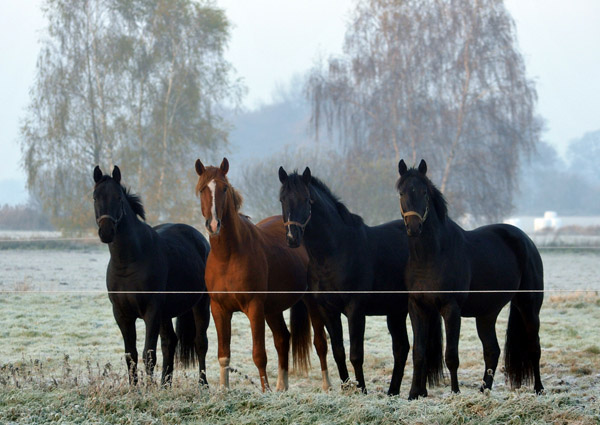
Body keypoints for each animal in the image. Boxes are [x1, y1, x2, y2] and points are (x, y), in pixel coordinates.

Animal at [92, 165, 212, 384]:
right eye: (95, 197)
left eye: (118, 197)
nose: (106, 231)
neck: (129, 262)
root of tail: (199, 239)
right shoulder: (122, 314)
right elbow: (131, 355)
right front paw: (136, 389)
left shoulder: (151, 312)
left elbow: (149, 355)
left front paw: (148, 389)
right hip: (166, 313)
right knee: (170, 342)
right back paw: (165, 384)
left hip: (201, 304)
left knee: (200, 343)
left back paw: (202, 384)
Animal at [195, 157, 330, 390]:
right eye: (203, 189)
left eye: (224, 188)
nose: (213, 224)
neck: (228, 257)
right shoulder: (219, 309)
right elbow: (224, 355)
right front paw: (223, 390)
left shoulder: (254, 307)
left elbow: (259, 355)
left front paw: (265, 391)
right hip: (273, 309)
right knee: (283, 339)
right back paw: (281, 388)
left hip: (310, 302)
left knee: (320, 342)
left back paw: (327, 386)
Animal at [278, 166, 442, 394]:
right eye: (282, 199)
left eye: (306, 199)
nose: (292, 238)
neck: (334, 253)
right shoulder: (327, 310)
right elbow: (338, 351)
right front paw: (346, 388)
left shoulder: (355, 308)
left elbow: (356, 354)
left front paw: (361, 390)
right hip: (396, 311)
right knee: (401, 348)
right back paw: (393, 391)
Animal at [398, 158, 544, 398]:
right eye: (401, 192)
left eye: (424, 192)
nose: (414, 227)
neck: (431, 256)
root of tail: (526, 241)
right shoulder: (417, 307)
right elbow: (418, 352)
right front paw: (412, 395)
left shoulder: (451, 308)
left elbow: (451, 356)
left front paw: (455, 393)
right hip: (487, 313)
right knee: (492, 350)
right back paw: (484, 390)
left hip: (528, 306)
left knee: (534, 347)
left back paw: (539, 389)